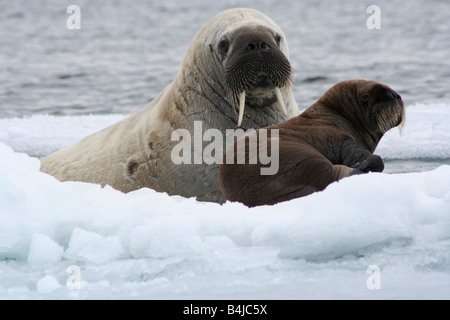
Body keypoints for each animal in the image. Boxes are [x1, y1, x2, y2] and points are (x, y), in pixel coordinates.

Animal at [220, 79, 406, 206]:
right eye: (366, 96)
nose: (395, 95)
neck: (337, 115)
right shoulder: (334, 136)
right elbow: (352, 150)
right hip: (300, 161)